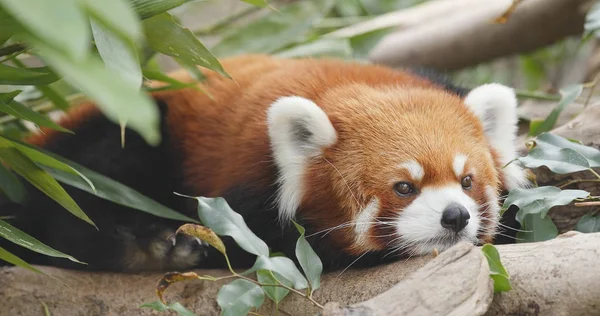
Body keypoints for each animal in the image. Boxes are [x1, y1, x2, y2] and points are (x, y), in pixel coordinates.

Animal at [0, 54, 524, 272]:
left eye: (467, 180)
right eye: (404, 187)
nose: (455, 217)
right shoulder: (245, 181)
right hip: (136, 127)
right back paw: (147, 249)